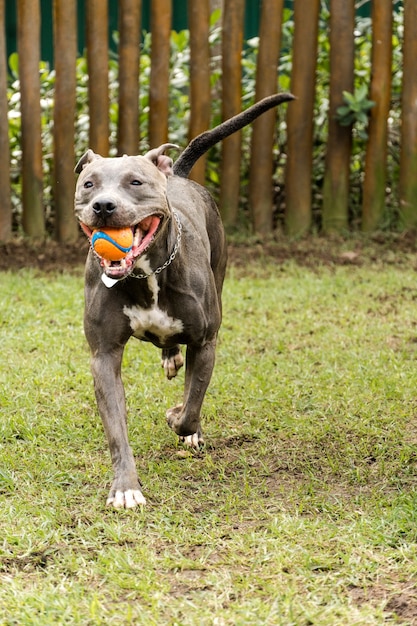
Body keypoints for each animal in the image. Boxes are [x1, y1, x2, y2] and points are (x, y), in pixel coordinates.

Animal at [76, 91, 294, 508]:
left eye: (135, 182)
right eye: (89, 184)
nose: (103, 206)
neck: (145, 274)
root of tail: (175, 172)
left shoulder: (205, 342)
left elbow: (192, 405)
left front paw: (180, 419)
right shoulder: (103, 355)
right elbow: (116, 428)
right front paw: (126, 487)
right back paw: (169, 355)